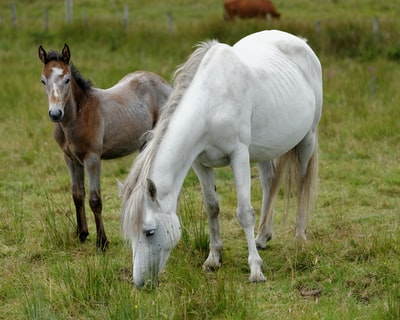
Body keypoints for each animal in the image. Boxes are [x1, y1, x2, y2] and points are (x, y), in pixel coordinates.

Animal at [121, 30, 322, 288]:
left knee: (302, 184)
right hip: (263, 150)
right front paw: (213, 258)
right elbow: (212, 207)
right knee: (269, 183)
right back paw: (262, 236)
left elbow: (244, 213)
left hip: (308, 139)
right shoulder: (200, 163)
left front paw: (255, 270)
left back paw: (299, 236)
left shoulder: (239, 155)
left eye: (149, 232)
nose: (140, 283)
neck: (211, 102)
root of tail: (300, 42)